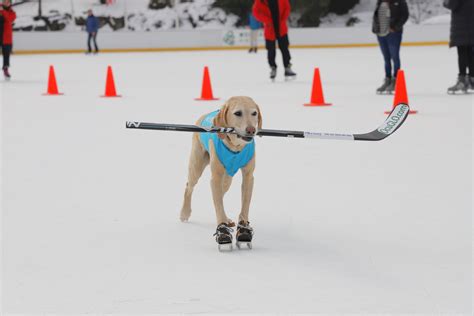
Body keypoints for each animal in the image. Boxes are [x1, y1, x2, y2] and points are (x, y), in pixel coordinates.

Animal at [180, 96, 262, 249]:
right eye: (238, 113)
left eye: (254, 113)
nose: (251, 130)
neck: (236, 147)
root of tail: (203, 116)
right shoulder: (216, 177)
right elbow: (218, 206)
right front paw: (223, 231)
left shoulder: (248, 177)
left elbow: (244, 205)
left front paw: (243, 230)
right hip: (196, 167)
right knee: (189, 187)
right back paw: (185, 212)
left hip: (227, 179)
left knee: (221, 194)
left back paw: (227, 218)